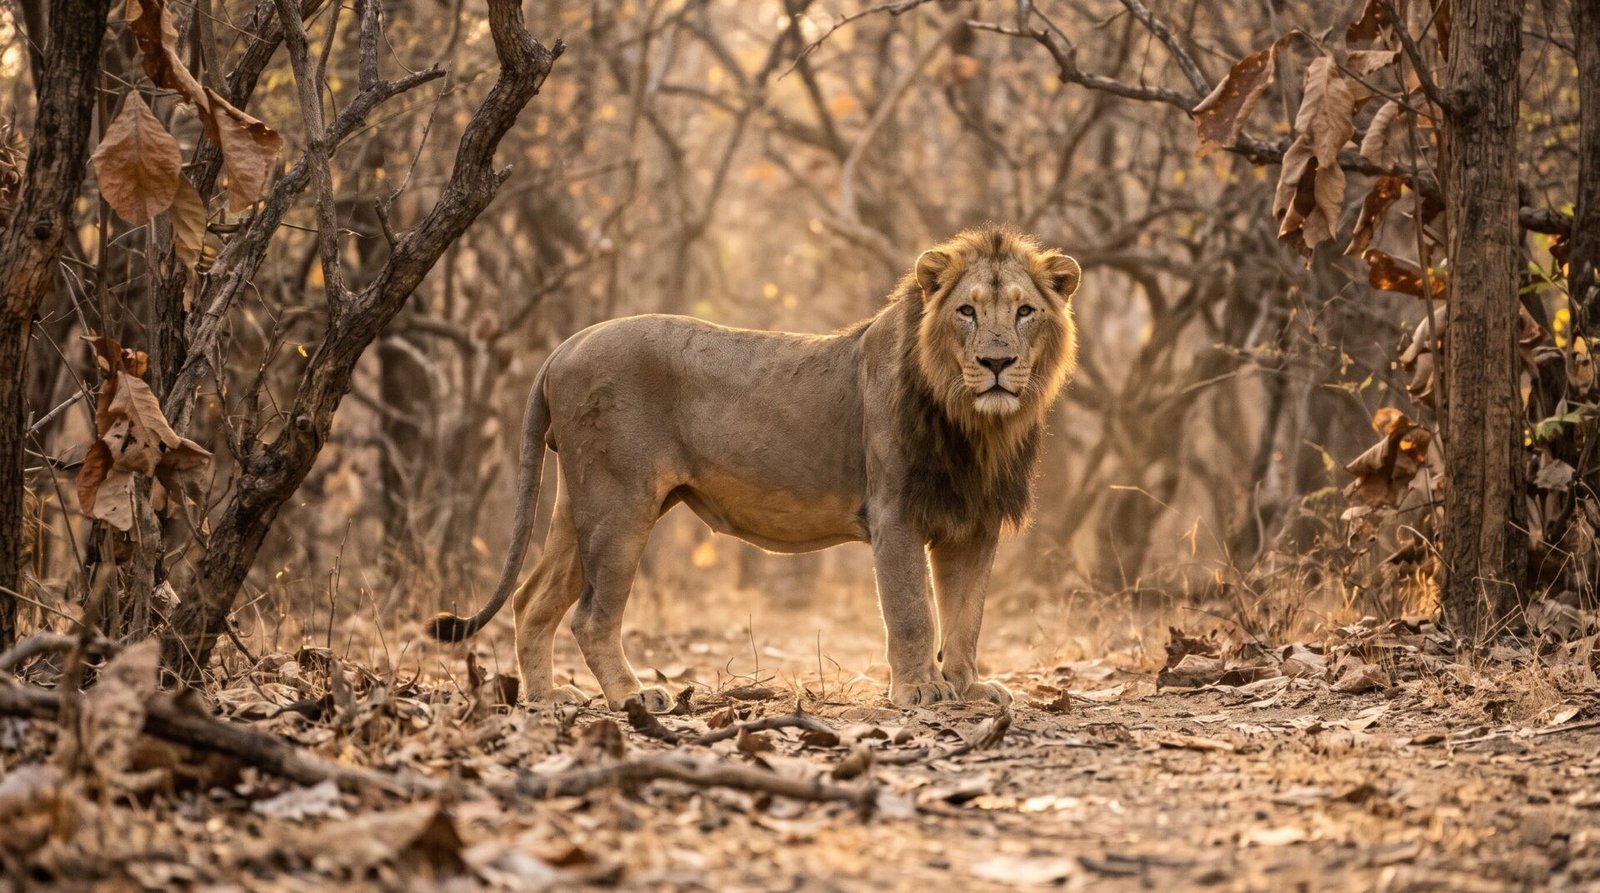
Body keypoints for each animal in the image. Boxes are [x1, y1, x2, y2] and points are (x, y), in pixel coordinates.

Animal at [429, 226, 1081, 711]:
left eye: (1024, 312)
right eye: (967, 312)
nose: (996, 363)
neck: (976, 426)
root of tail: (565, 346)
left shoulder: (973, 523)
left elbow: (966, 615)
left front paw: (970, 687)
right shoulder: (895, 512)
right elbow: (914, 611)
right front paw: (920, 690)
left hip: (579, 502)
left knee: (532, 600)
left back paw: (544, 700)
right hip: (619, 503)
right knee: (590, 616)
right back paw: (635, 698)